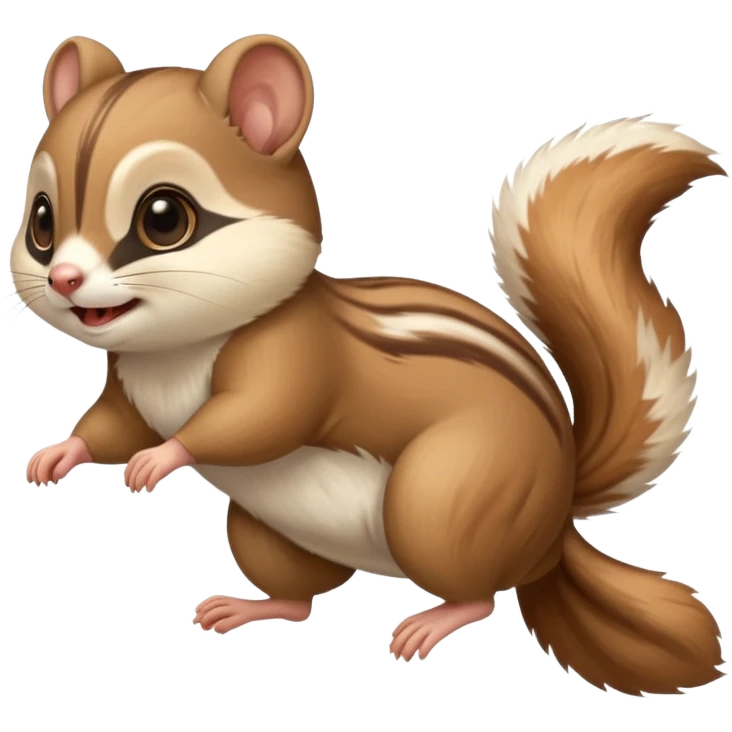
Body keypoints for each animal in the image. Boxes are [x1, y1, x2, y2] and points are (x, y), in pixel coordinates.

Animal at [12, 33, 727, 695]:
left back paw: (432, 620)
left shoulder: (296, 356)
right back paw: (250, 608)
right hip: (264, 531)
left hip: (450, 499)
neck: (174, 354)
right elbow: (112, 424)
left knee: (481, 591)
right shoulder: (129, 385)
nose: (66, 280)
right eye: (41, 221)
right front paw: (58, 455)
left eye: (164, 218)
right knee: (302, 596)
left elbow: (257, 419)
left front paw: (162, 457)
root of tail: (555, 523)